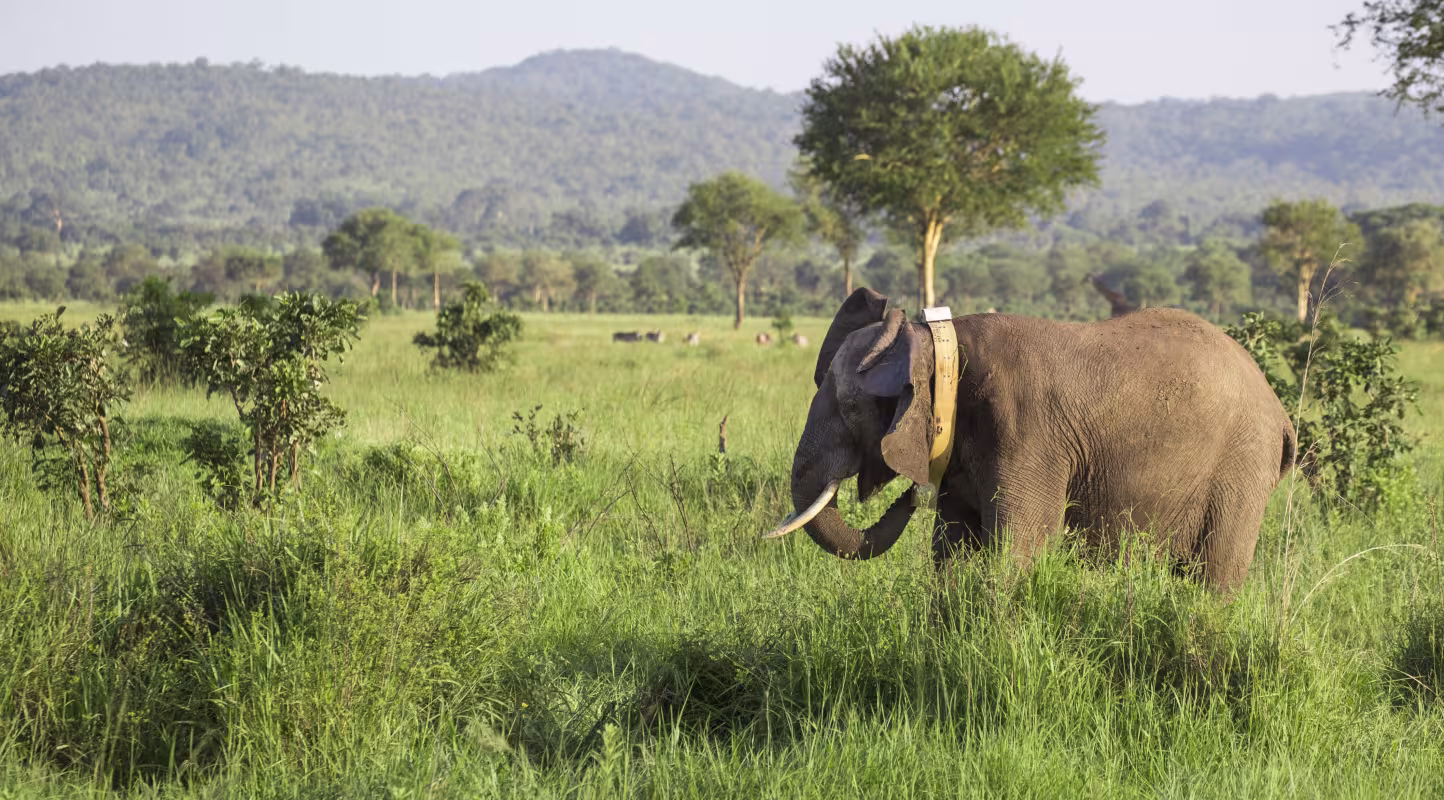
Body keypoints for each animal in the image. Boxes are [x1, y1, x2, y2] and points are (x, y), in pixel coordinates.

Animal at [765, 288, 1296, 593]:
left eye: (852, 409)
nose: (911, 496)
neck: (939, 343)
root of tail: (1281, 413)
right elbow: (951, 550)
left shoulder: (1027, 433)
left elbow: (1018, 549)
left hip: (1242, 463)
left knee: (1215, 577)